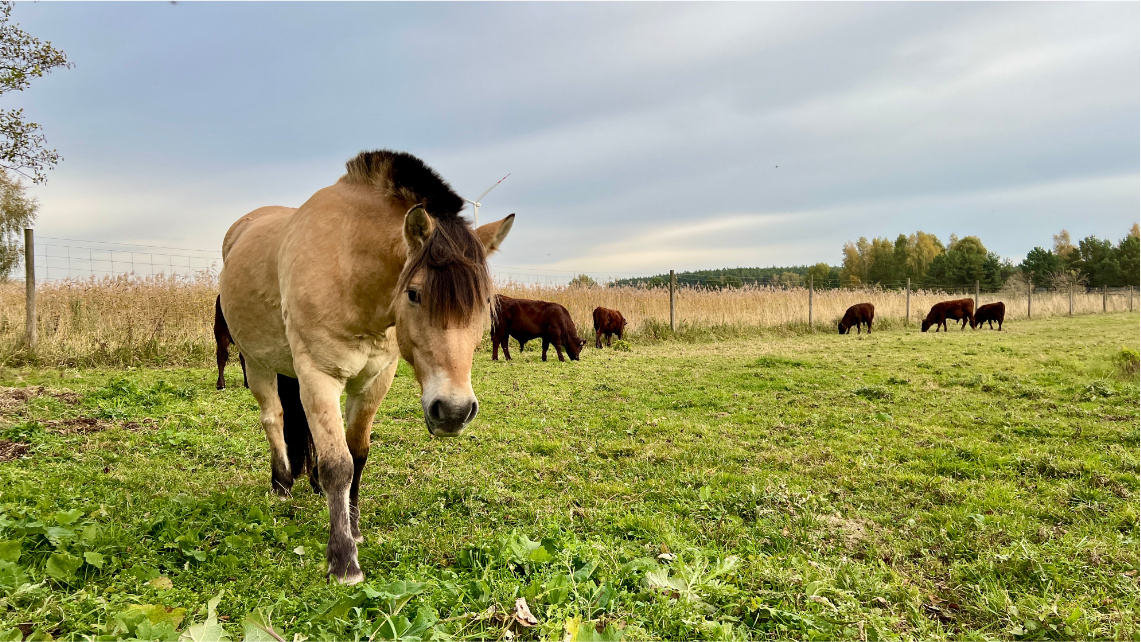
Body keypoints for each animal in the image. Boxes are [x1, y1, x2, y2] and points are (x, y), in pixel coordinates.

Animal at [217, 149, 513, 583]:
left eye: (483, 302)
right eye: (414, 294)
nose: (454, 411)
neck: (351, 269)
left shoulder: (374, 380)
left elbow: (356, 455)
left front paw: (353, 530)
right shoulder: (318, 377)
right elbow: (337, 464)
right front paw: (343, 560)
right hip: (256, 362)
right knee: (273, 418)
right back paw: (282, 484)